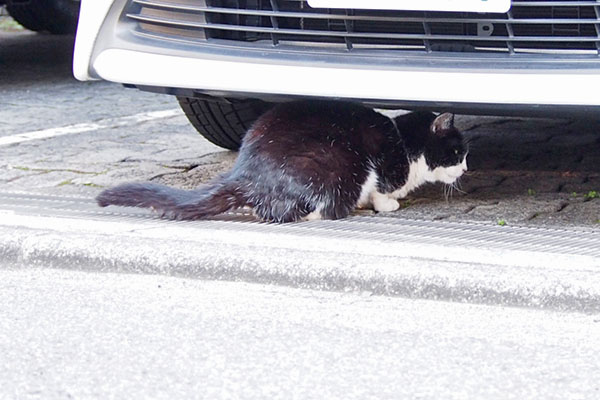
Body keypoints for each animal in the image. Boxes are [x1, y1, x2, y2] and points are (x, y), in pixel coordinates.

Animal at [96, 99, 466, 222]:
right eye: (458, 152)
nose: (466, 168)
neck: (405, 143)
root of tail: (243, 174)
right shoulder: (383, 167)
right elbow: (381, 189)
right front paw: (386, 204)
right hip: (340, 164)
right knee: (317, 209)